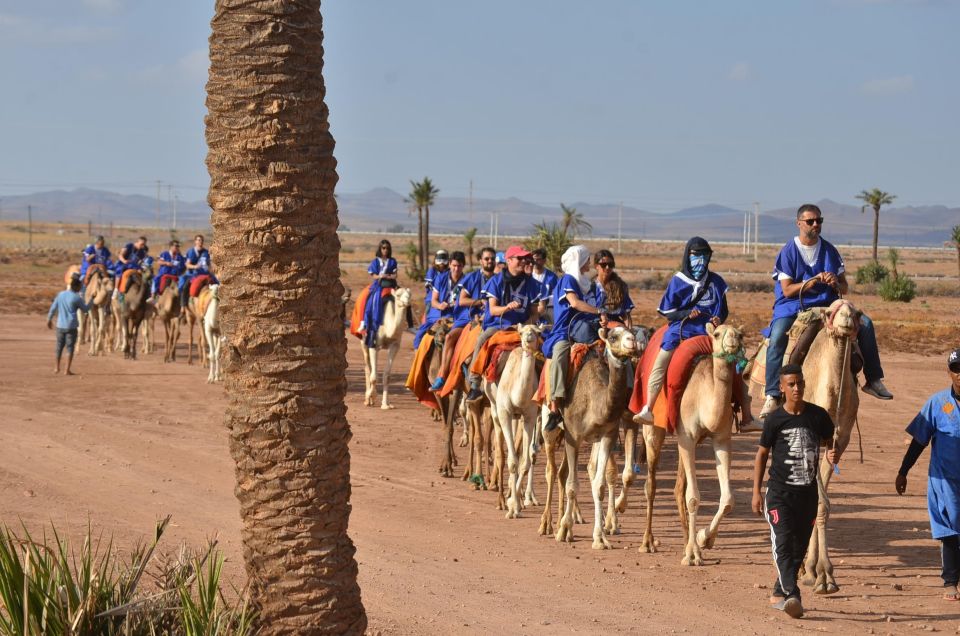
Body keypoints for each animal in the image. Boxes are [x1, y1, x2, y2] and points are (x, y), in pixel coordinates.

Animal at [484, 322, 544, 516]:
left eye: (537, 332)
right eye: (522, 332)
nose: (528, 338)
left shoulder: (530, 415)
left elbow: (525, 461)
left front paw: (516, 504)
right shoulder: (505, 412)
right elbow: (512, 461)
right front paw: (511, 506)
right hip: (495, 408)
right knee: (500, 452)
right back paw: (501, 499)